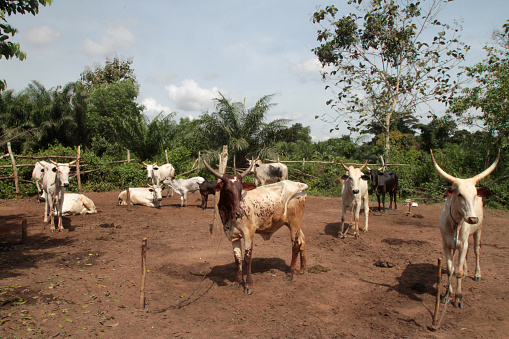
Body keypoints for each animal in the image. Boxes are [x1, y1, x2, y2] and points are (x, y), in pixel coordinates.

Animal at [202, 159, 306, 294]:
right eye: (227, 190)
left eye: (240, 190)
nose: (239, 213)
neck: (229, 215)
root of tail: (299, 184)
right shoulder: (233, 236)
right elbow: (237, 259)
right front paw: (237, 282)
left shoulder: (248, 233)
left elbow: (247, 258)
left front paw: (248, 285)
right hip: (294, 223)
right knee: (302, 240)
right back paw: (302, 269)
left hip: (294, 222)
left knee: (295, 245)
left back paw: (290, 274)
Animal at [428, 150, 500, 310]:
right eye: (459, 194)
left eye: (474, 195)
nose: (472, 219)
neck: (455, 224)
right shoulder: (446, 244)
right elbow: (450, 269)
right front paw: (447, 295)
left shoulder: (464, 242)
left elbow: (458, 272)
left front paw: (458, 297)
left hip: (478, 231)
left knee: (476, 251)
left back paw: (477, 274)